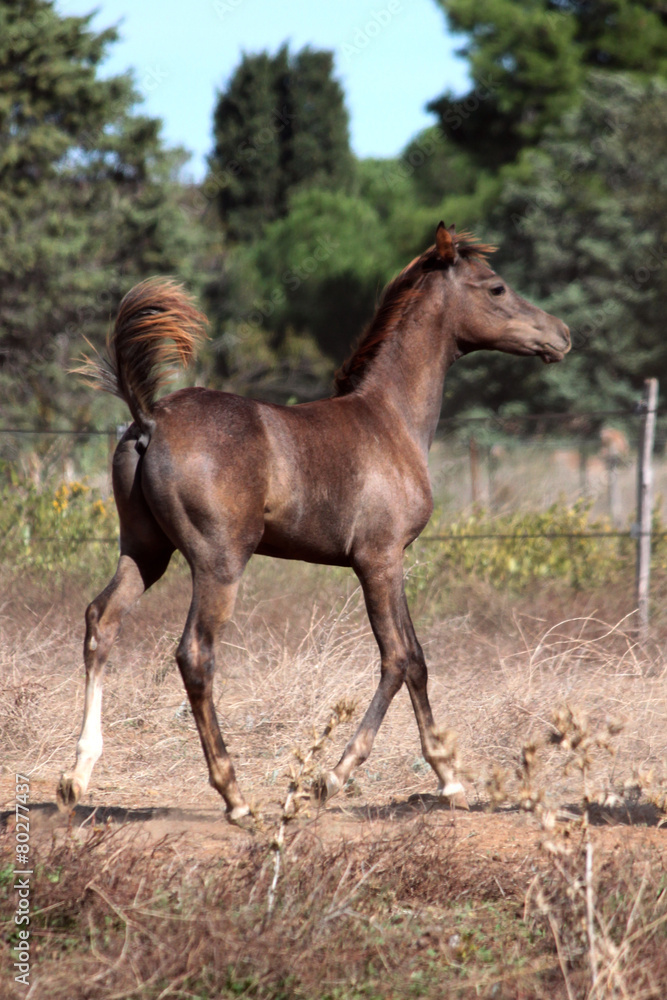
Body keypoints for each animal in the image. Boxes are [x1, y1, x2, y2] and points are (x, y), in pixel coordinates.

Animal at [57, 223, 570, 823]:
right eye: (496, 287)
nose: (561, 334)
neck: (390, 419)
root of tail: (149, 419)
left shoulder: (388, 560)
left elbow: (415, 659)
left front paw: (449, 779)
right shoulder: (379, 558)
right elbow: (399, 658)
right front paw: (333, 778)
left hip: (144, 551)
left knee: (101, 621)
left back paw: (77, 776)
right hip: (218, 563)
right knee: (195, 655)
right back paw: (234, 797)